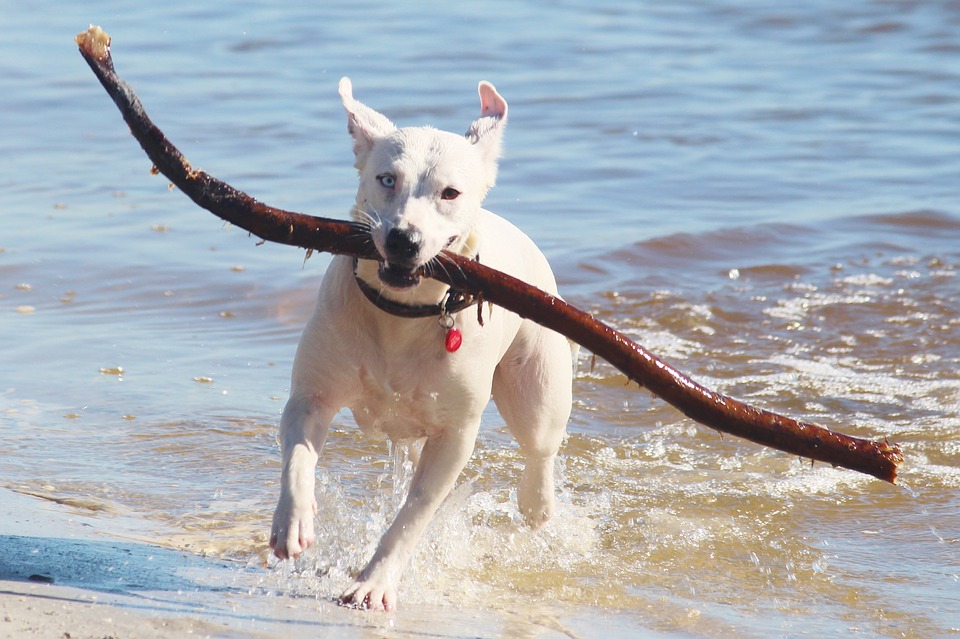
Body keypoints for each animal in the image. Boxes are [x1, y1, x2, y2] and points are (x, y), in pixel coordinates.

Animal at [266, 77, 572, 612]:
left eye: (450, 192)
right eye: (387, 179)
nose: (403, 239)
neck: (400, 313)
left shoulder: (455, 435)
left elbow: (414, 513)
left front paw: (374, 582)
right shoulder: (312, 395)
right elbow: (299, 455)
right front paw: (294, 523)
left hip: (537, 381)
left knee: (539, 446)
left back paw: (537, 504)